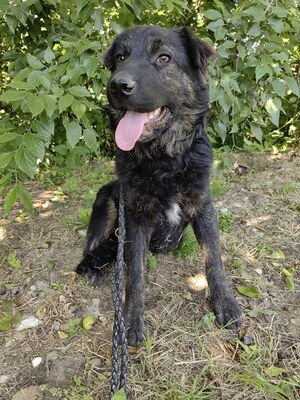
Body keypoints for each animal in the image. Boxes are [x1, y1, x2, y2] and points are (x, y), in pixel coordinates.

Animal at [75, 25, 241, 346]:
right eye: (120, 57)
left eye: (164, 57)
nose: (117, 86)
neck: (165, 161)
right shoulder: (134, 216)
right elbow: (135, 272)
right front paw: (130, 320)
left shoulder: (203, 205)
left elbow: (214, 259)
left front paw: (225, 303)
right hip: (106, 202)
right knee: (93, 241)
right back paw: (96, 270)